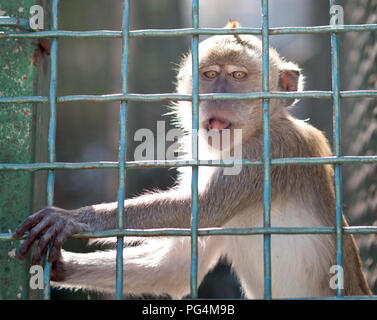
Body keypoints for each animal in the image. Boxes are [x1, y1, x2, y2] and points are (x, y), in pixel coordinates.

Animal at [12, 21, 370, 298]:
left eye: (237, 75)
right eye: (210, 74)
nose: (218, 95)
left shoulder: (272, 150)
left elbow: (202, 208)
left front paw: (74, 218)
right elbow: (175, 268)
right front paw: (55, 267)